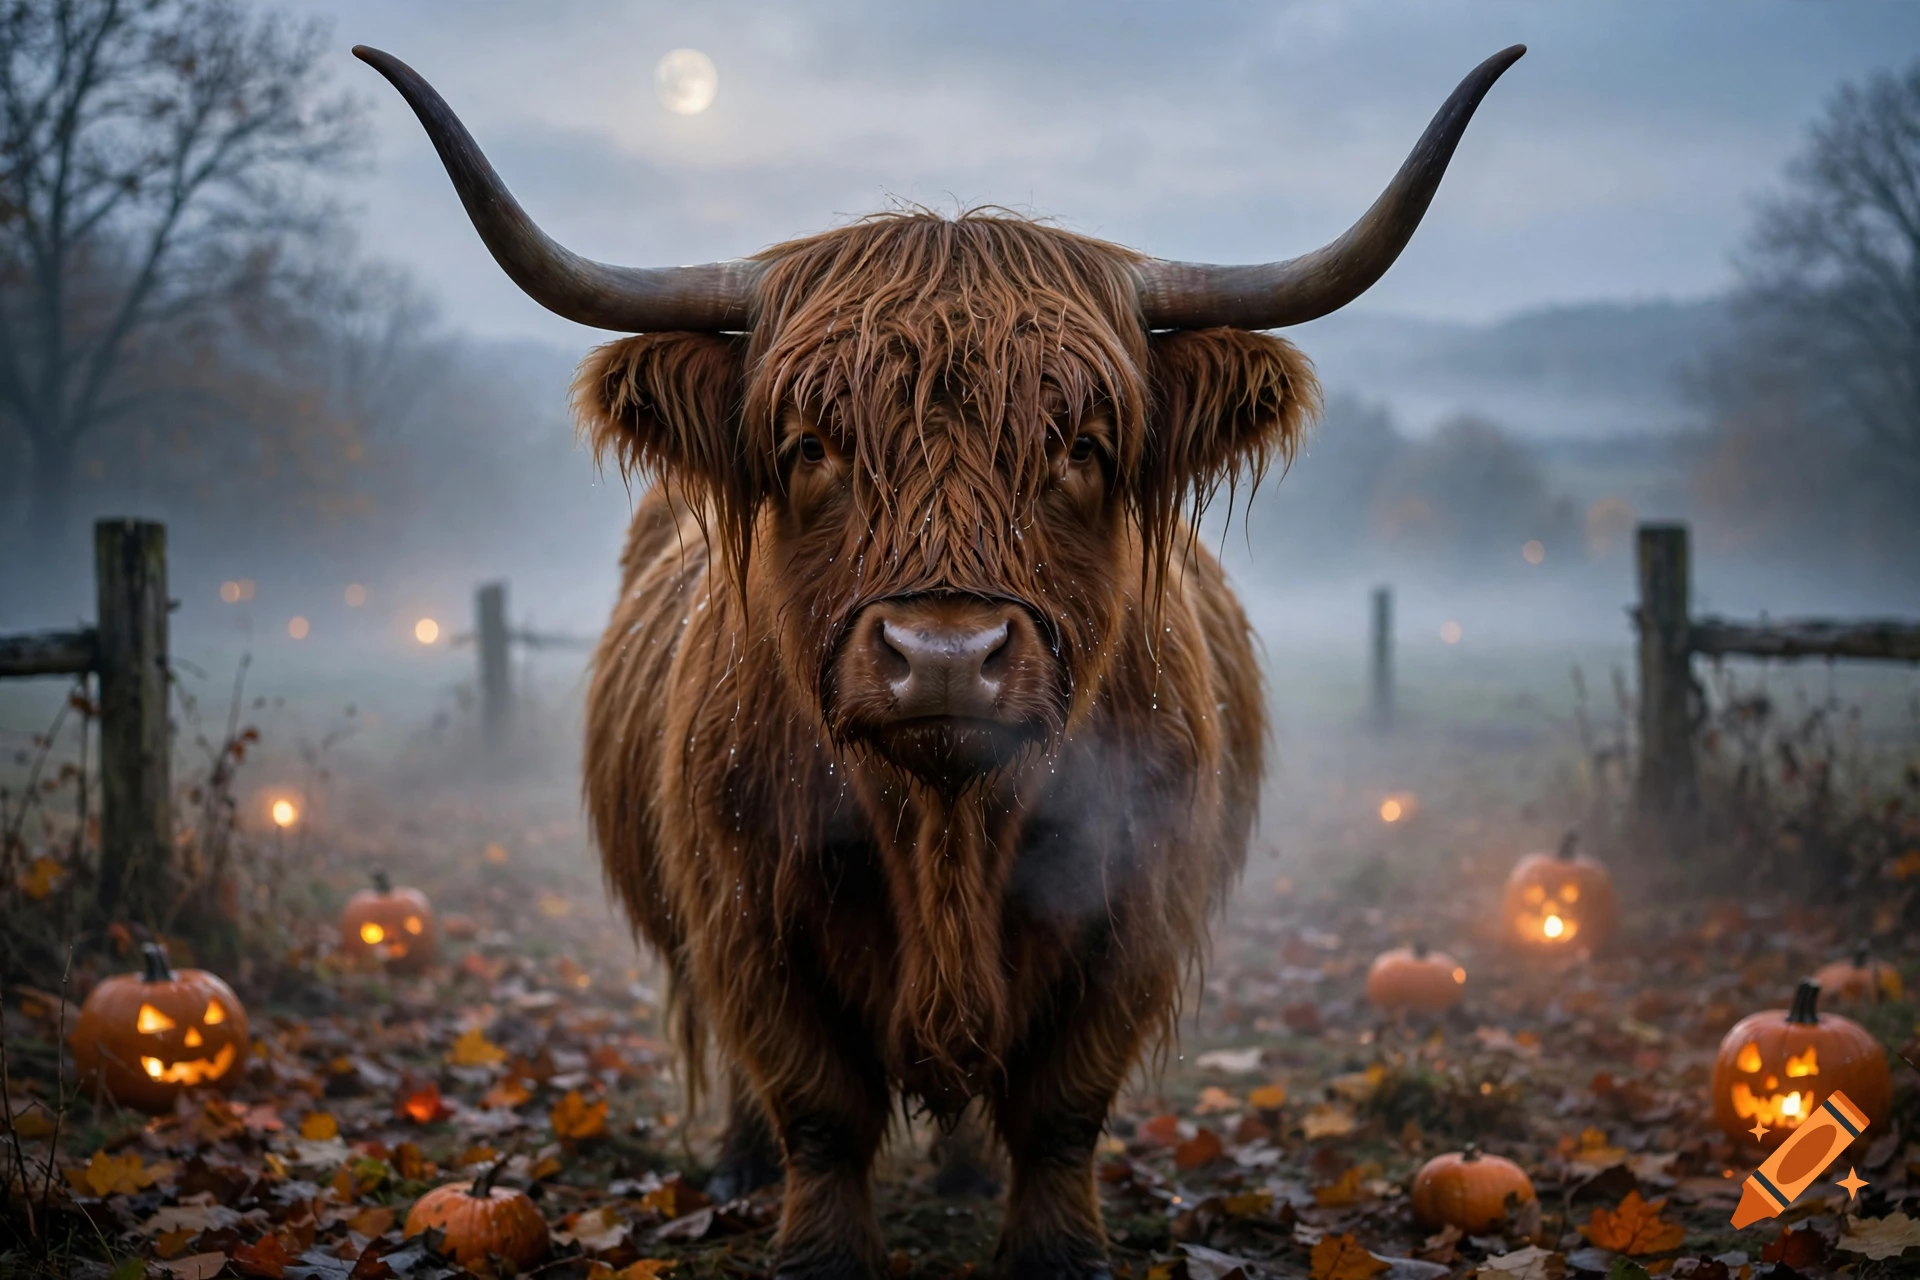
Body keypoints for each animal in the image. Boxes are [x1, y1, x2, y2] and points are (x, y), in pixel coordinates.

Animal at [357, 43, 1522, 1280]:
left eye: (1082, 445)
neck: (947, 829)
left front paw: (1055, 1251)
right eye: (808, 445)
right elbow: (817, 1104)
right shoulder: (744, 912)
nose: (948, 655)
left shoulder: (1134, 907)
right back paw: (739, 1164)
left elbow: (1062, 1107)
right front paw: (821, 1251)